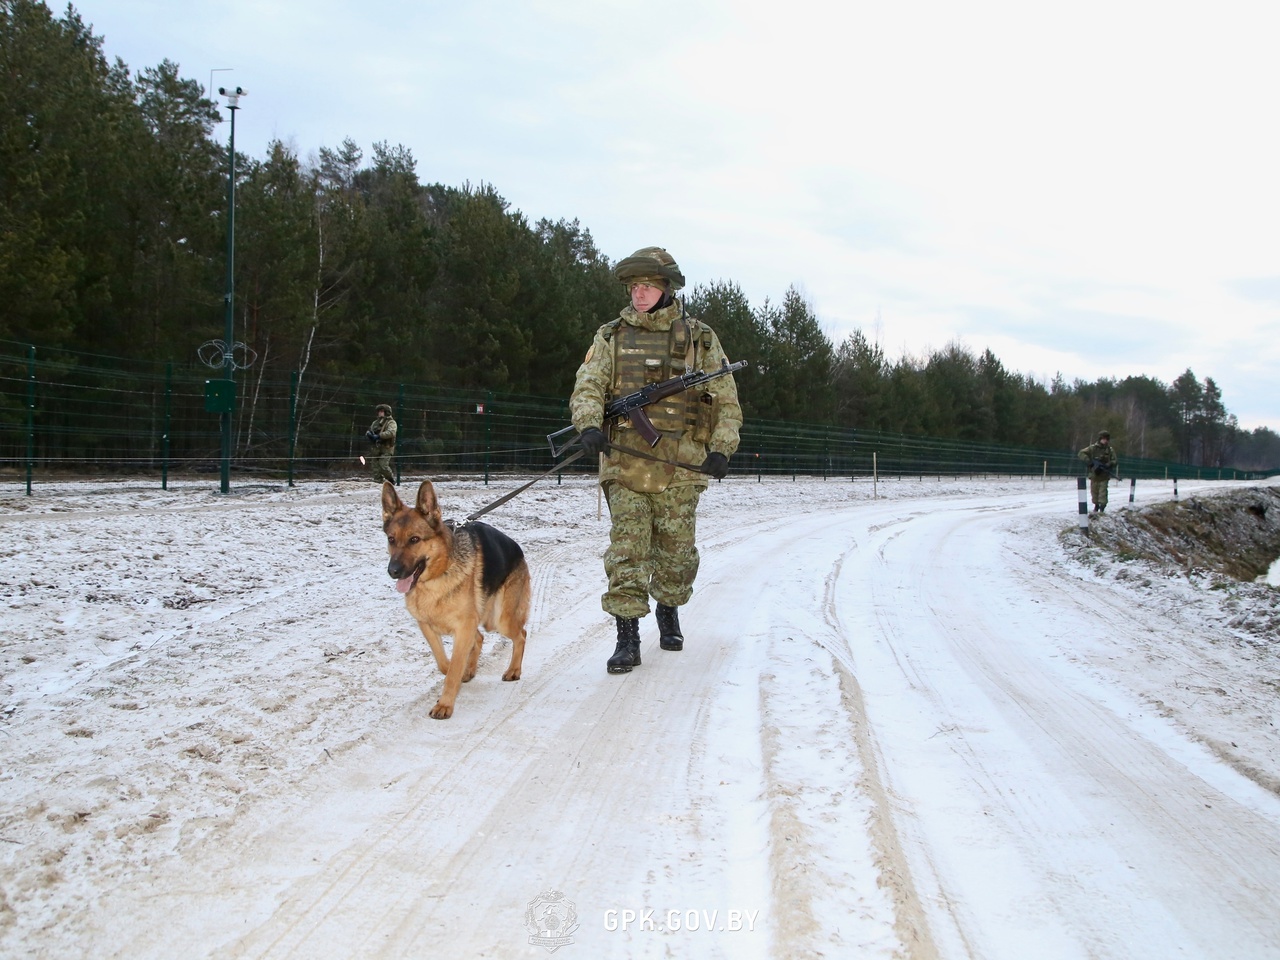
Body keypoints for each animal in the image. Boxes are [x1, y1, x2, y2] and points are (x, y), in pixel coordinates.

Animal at [378, 481, 529, 721]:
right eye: (391, 539)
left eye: (414, 539)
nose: (393, 571)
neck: (436, 577)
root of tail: (518, 549)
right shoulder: (427, 626)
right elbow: (444, 664)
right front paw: (455, 672)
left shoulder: (464, 626)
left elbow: (453, 667)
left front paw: (445, 704)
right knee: (480, 638)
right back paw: (470, 671)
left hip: (499, 620)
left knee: (521, 634)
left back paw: (513, 670)